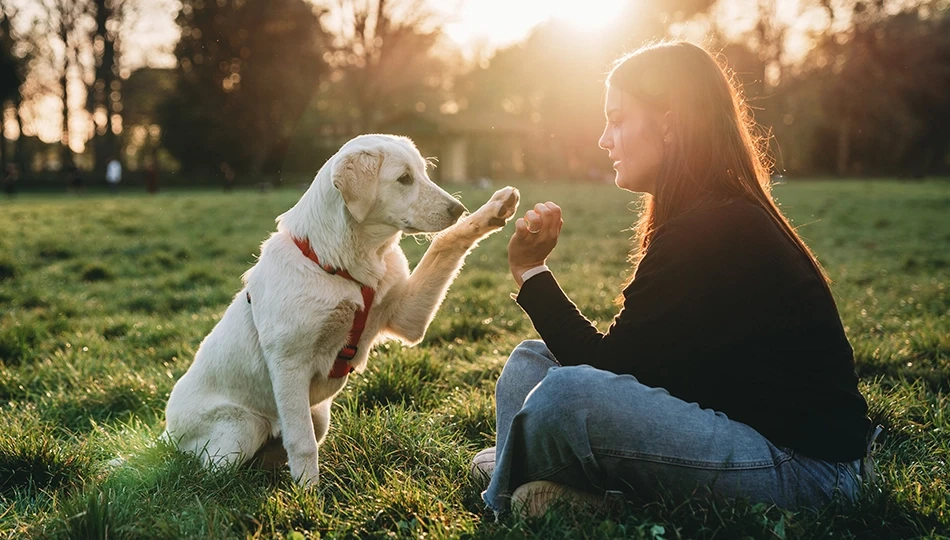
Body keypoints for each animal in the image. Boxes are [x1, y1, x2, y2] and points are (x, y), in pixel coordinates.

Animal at [164, 134, 520, 486]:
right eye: (404, 179)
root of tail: (165, 434)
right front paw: (308, 496)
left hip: (317, 415)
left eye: (424, 173)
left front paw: (492, 212)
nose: (458, 208)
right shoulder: (289, 363)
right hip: (241, 429)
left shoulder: (407, 318)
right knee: (211, 472)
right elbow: (302, 443)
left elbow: (444, 242)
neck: (344, 266)